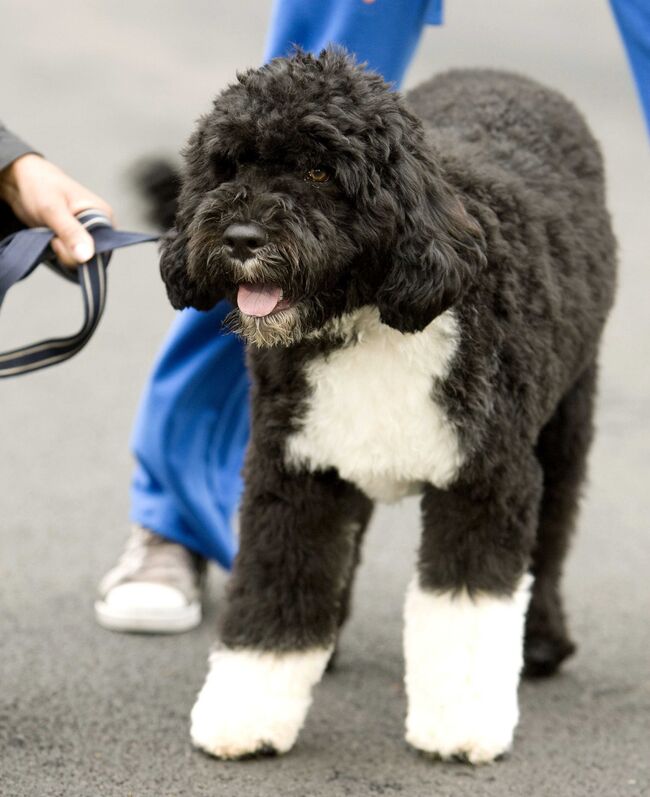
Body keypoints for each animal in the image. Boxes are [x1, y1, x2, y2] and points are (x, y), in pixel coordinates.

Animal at [154, 51, 616, 764]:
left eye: (319, 171)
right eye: (229, 167)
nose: (240, 237)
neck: (369, 316)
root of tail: (507, 74)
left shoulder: (487, 479)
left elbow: (465, 607)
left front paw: (460, 725)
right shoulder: (296, 469)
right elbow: (277, 588)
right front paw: (248, 713)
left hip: (566, 419)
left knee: (554, 530)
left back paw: (540, 639)